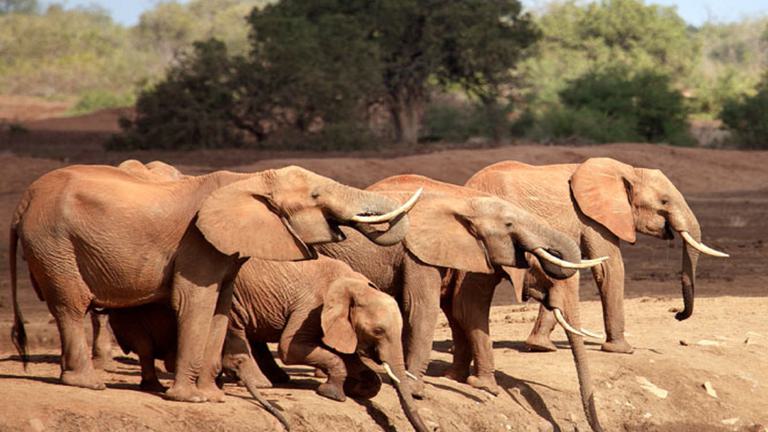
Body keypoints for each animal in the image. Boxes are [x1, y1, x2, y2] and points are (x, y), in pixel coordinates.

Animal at [9, 163, 420, 404]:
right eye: (316, 196)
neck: (247, 180)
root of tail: (22, 204)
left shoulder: (225, 249)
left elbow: (221, 309)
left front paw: (210, 396)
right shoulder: (197, 241)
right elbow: (197, 303)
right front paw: (190, 399)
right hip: (54, 242)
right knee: (71, 304)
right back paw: (87, 384)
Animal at [103, 256, 430, 432]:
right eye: (378, 330)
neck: (353, 284)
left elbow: (341, 351)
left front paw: (361, 386)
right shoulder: (311, 307)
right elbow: (293, 348)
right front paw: (334, 393)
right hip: (230, 294)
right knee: (237, 329)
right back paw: (262, 382)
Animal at [316, 174, 605, 399]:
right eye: (509, 225)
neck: (467, 205)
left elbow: (457, 311)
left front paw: (457, 379)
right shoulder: (422, 254)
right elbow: (439, 309)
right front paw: (422, 390)